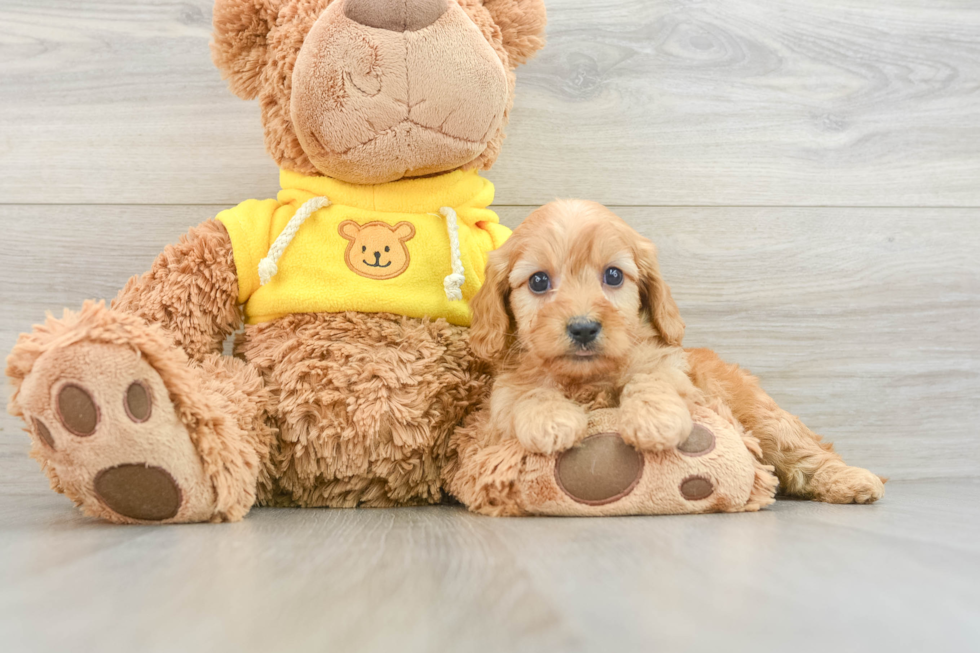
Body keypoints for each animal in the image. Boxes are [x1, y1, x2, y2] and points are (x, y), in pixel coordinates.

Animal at [468, 200, 888, 504]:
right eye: (539, 281)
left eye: (613, 275)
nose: (583, 327)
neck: (589, 377)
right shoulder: (501, 399)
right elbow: (528, 393)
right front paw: (551, 421)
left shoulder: (672, 368)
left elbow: (651, 378)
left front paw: (654, 421)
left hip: (763, 417)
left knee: (805, 451)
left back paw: (852, 480)